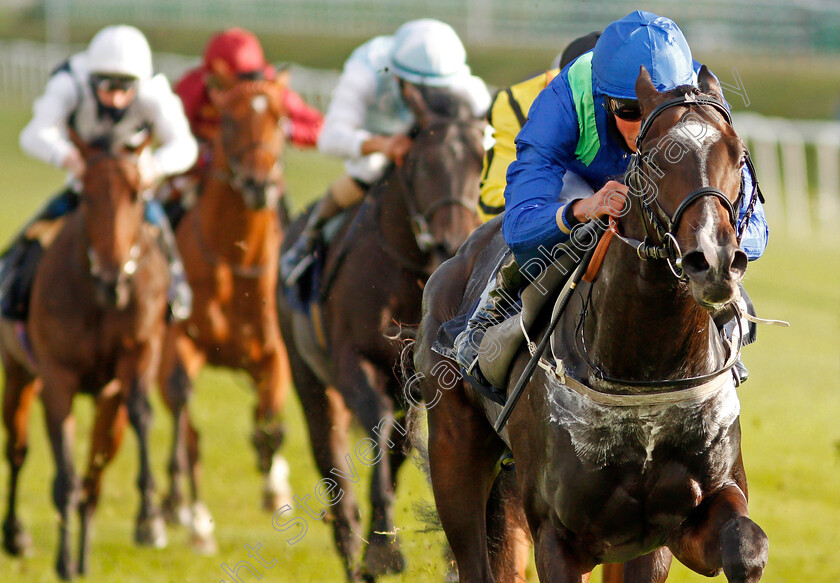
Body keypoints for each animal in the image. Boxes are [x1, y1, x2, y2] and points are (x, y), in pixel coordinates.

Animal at [278, 84, 486, 580]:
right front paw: (384, 548)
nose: (453, 240)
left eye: (478, 162)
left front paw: (383, 540)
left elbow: (401, 442)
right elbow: (375, 425)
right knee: (333, 467)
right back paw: (353, 544)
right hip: (309, 382)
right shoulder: (352, 360)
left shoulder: (415, 382)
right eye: (423, 162)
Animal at [414, 68, 768, 583]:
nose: (714, 260)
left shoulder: (679, 522)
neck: (646, 369)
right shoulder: (557, 536)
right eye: (654, 157)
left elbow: (745, 545)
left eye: (738, 154)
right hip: (453, 449)